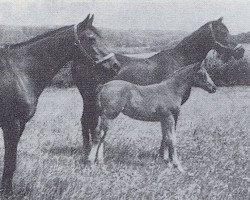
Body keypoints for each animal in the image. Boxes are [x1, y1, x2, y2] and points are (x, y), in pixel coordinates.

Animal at [0, 14, 119, 195]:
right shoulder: (11, 124)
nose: (115, 66)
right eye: (91, 38)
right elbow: (10, 160)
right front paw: (7, 192)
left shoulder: (20, 125)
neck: (19, 71)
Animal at [72, 17, 244, 163]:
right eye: (222, 33)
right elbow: (169, 132)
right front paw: (167, 157)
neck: (179, 61)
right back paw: (87, 153)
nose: (241, 51)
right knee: (88, 122)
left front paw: (163, 155)